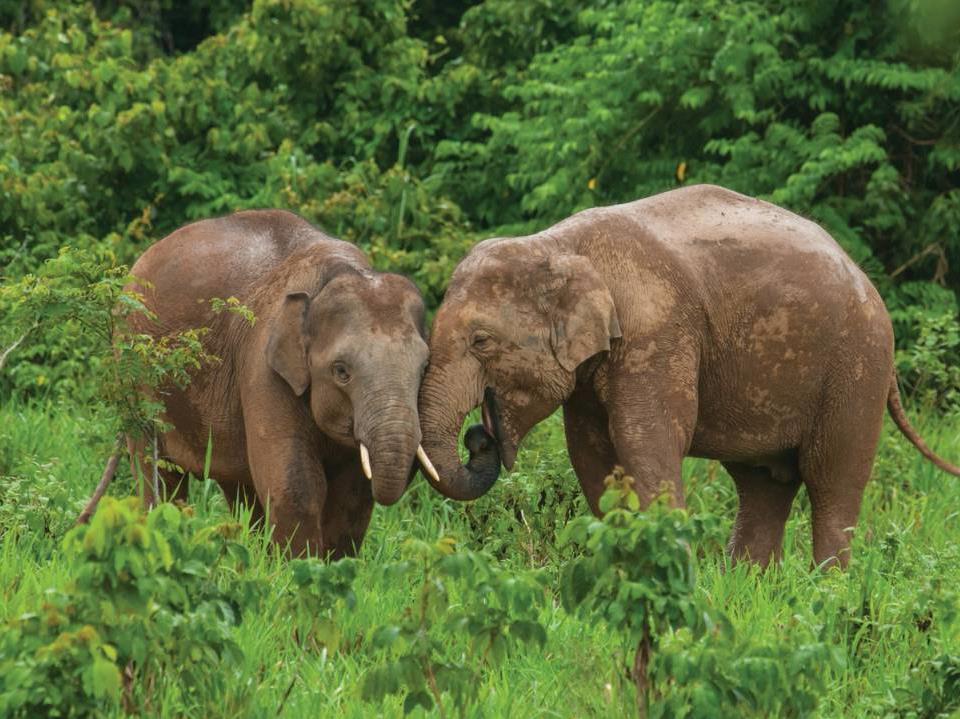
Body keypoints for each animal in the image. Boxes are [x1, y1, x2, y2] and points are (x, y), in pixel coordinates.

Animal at [126, 209, 439, 557]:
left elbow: (353, 492)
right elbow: (295, 485)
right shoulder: (262, 368)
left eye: (424, 368)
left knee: (240, 485)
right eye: (341, 371)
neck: (334, 274)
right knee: (157, 471)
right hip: (134, 370)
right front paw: (299, 565)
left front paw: (335, 564)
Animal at [418, 184, 960, 568]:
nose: (478, 436)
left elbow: (646, 439)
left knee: (833, 481)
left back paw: (828, 592)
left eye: (481, 341)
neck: (557, 244)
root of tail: (865, 279)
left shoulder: (658, 331)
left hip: (856, 368)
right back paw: (747, 586)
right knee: (764, 485)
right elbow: (592, 457)